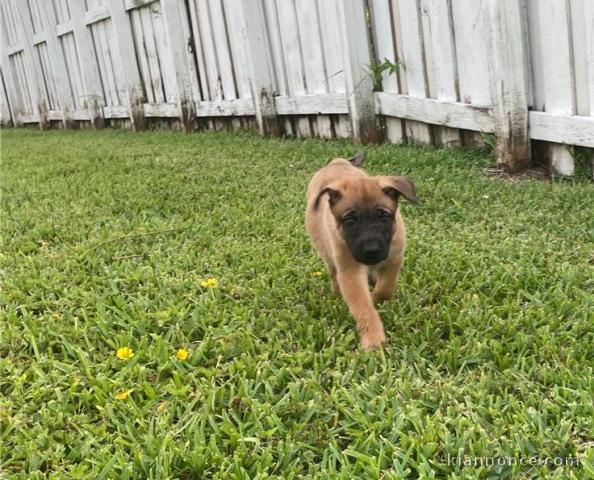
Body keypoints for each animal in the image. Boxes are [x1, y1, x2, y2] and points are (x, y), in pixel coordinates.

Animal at [306, 156, 416, 350]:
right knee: (334, 275)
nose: (371, 251)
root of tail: (337, 162)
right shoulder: (350, 273)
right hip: (328, 255)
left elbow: (386, 287)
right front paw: (373, 339)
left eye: (383, 216)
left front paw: (378, 300)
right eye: (350, 221)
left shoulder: (394, 259)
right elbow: (364, 308)